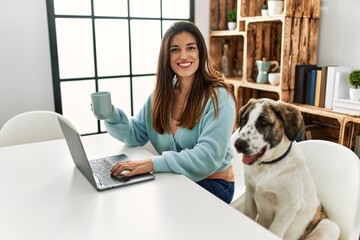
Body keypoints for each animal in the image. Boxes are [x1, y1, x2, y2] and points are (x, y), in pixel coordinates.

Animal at [232, 98, 338, 239]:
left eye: (263, 122)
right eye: (244, 120)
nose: (238, 144)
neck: (267, 166)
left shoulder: (288, 207)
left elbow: (274, 231)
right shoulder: (250, 193)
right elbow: (248, 215)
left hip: (330, 227)